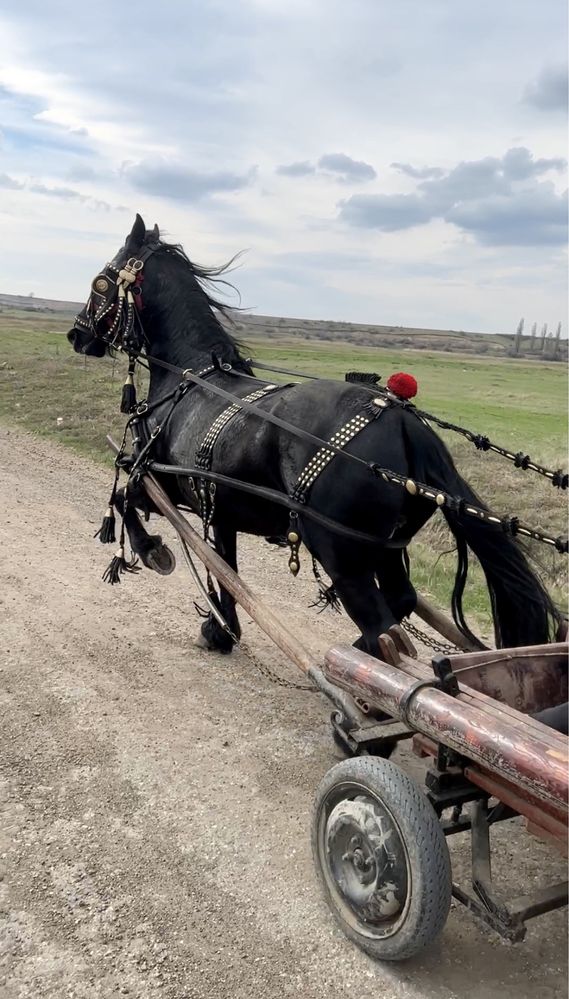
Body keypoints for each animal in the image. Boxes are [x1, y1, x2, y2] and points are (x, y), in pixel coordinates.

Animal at [67, 215, 560, 656]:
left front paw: (152, 550)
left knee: (379, 624)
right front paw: (223, 629)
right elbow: (226, 568)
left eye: (100, 282)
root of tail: (406, 424)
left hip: (341, 554)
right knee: (400, 603)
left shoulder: (162, 478)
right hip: (384, 550)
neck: (193, 375)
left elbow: (124, 496)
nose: (76, 334)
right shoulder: (218, 507)